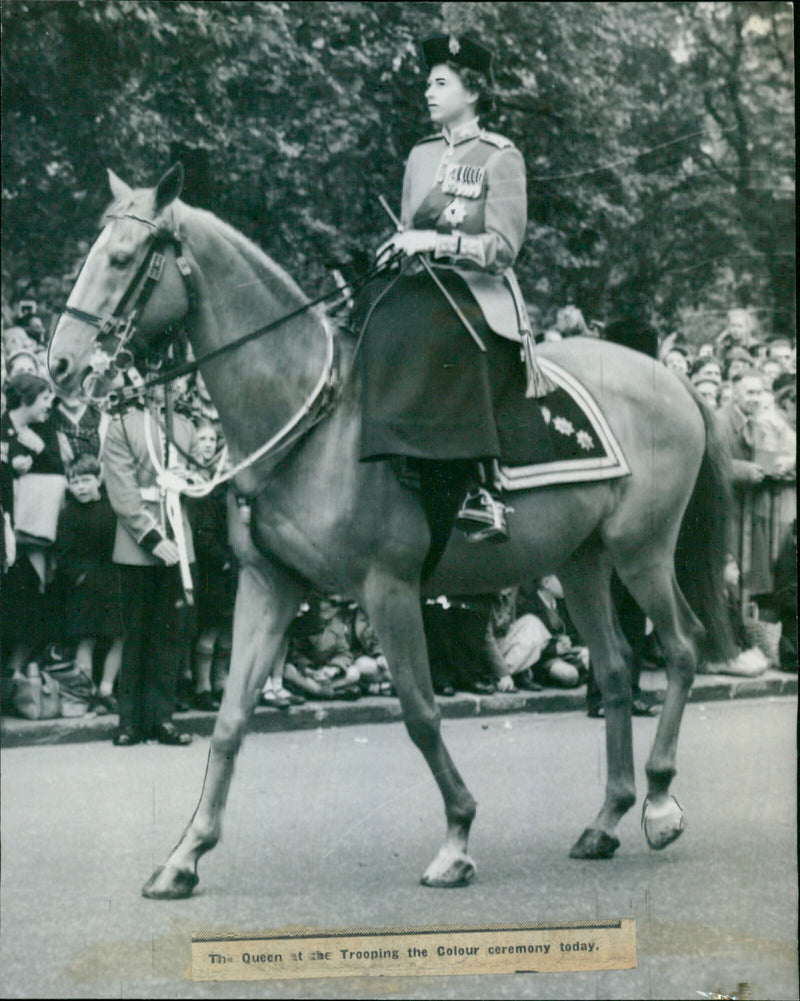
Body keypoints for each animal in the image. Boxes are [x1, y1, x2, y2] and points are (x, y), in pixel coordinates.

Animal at [45, 164, 732, 900]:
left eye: (122, 258)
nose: (60, 365)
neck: (311, 417)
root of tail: (668, 378)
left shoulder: (388, 587)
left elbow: (420, 714)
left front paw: (457, 835)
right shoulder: (269, 584)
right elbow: (230, 720)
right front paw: (186, 854)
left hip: (642, 551)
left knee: (681, 647)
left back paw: (658, 803)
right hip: (581, 560)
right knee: (617, 666)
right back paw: (607, 818)